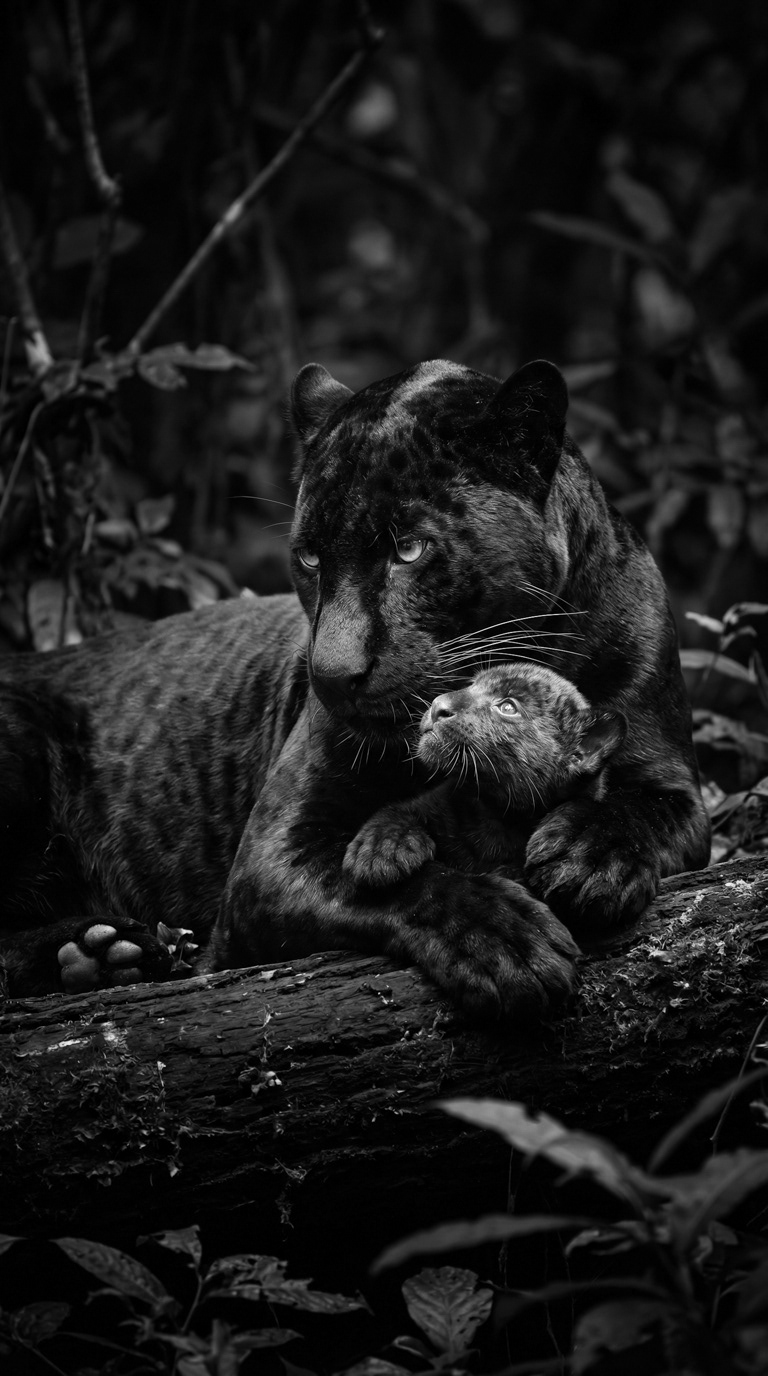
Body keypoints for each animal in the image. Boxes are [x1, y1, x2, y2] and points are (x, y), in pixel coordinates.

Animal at [0, 358, 711, 1019]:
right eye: (310, 558)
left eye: (410, 549)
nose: (331, 675)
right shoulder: (271, 856)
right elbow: (383, 882)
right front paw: (505, 940)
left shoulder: (671, 777)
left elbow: (643, 810)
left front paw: (588, 857)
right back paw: (97, 951)